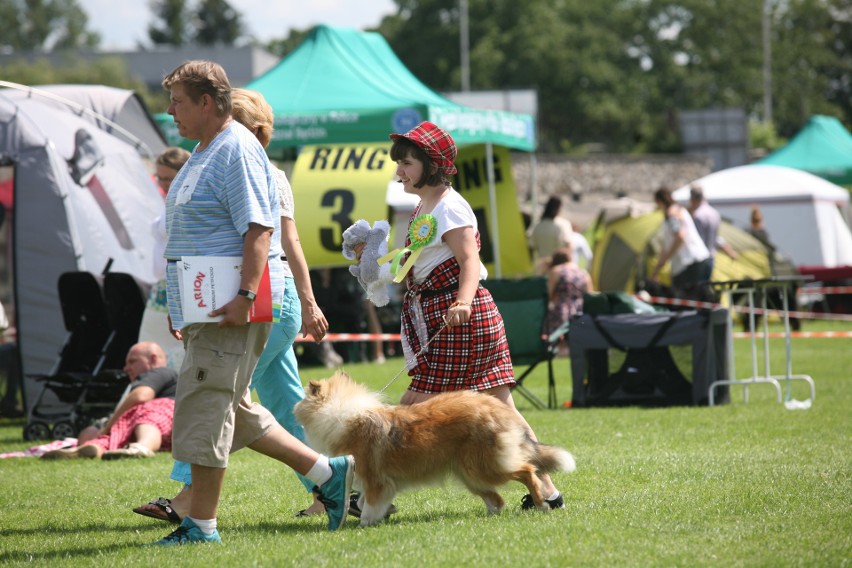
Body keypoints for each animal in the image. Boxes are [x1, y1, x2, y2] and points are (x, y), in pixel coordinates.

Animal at [294, 370, 580, 524]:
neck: (341, 412)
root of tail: (497, 407)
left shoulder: (375, 478)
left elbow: (370, 504)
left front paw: (366, 523)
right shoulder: (378, 481)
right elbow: (366, 500)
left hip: (484, 467)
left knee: (528, 471)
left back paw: (541, 504)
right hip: (470, 474)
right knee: (497, 498)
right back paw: (491, 515)